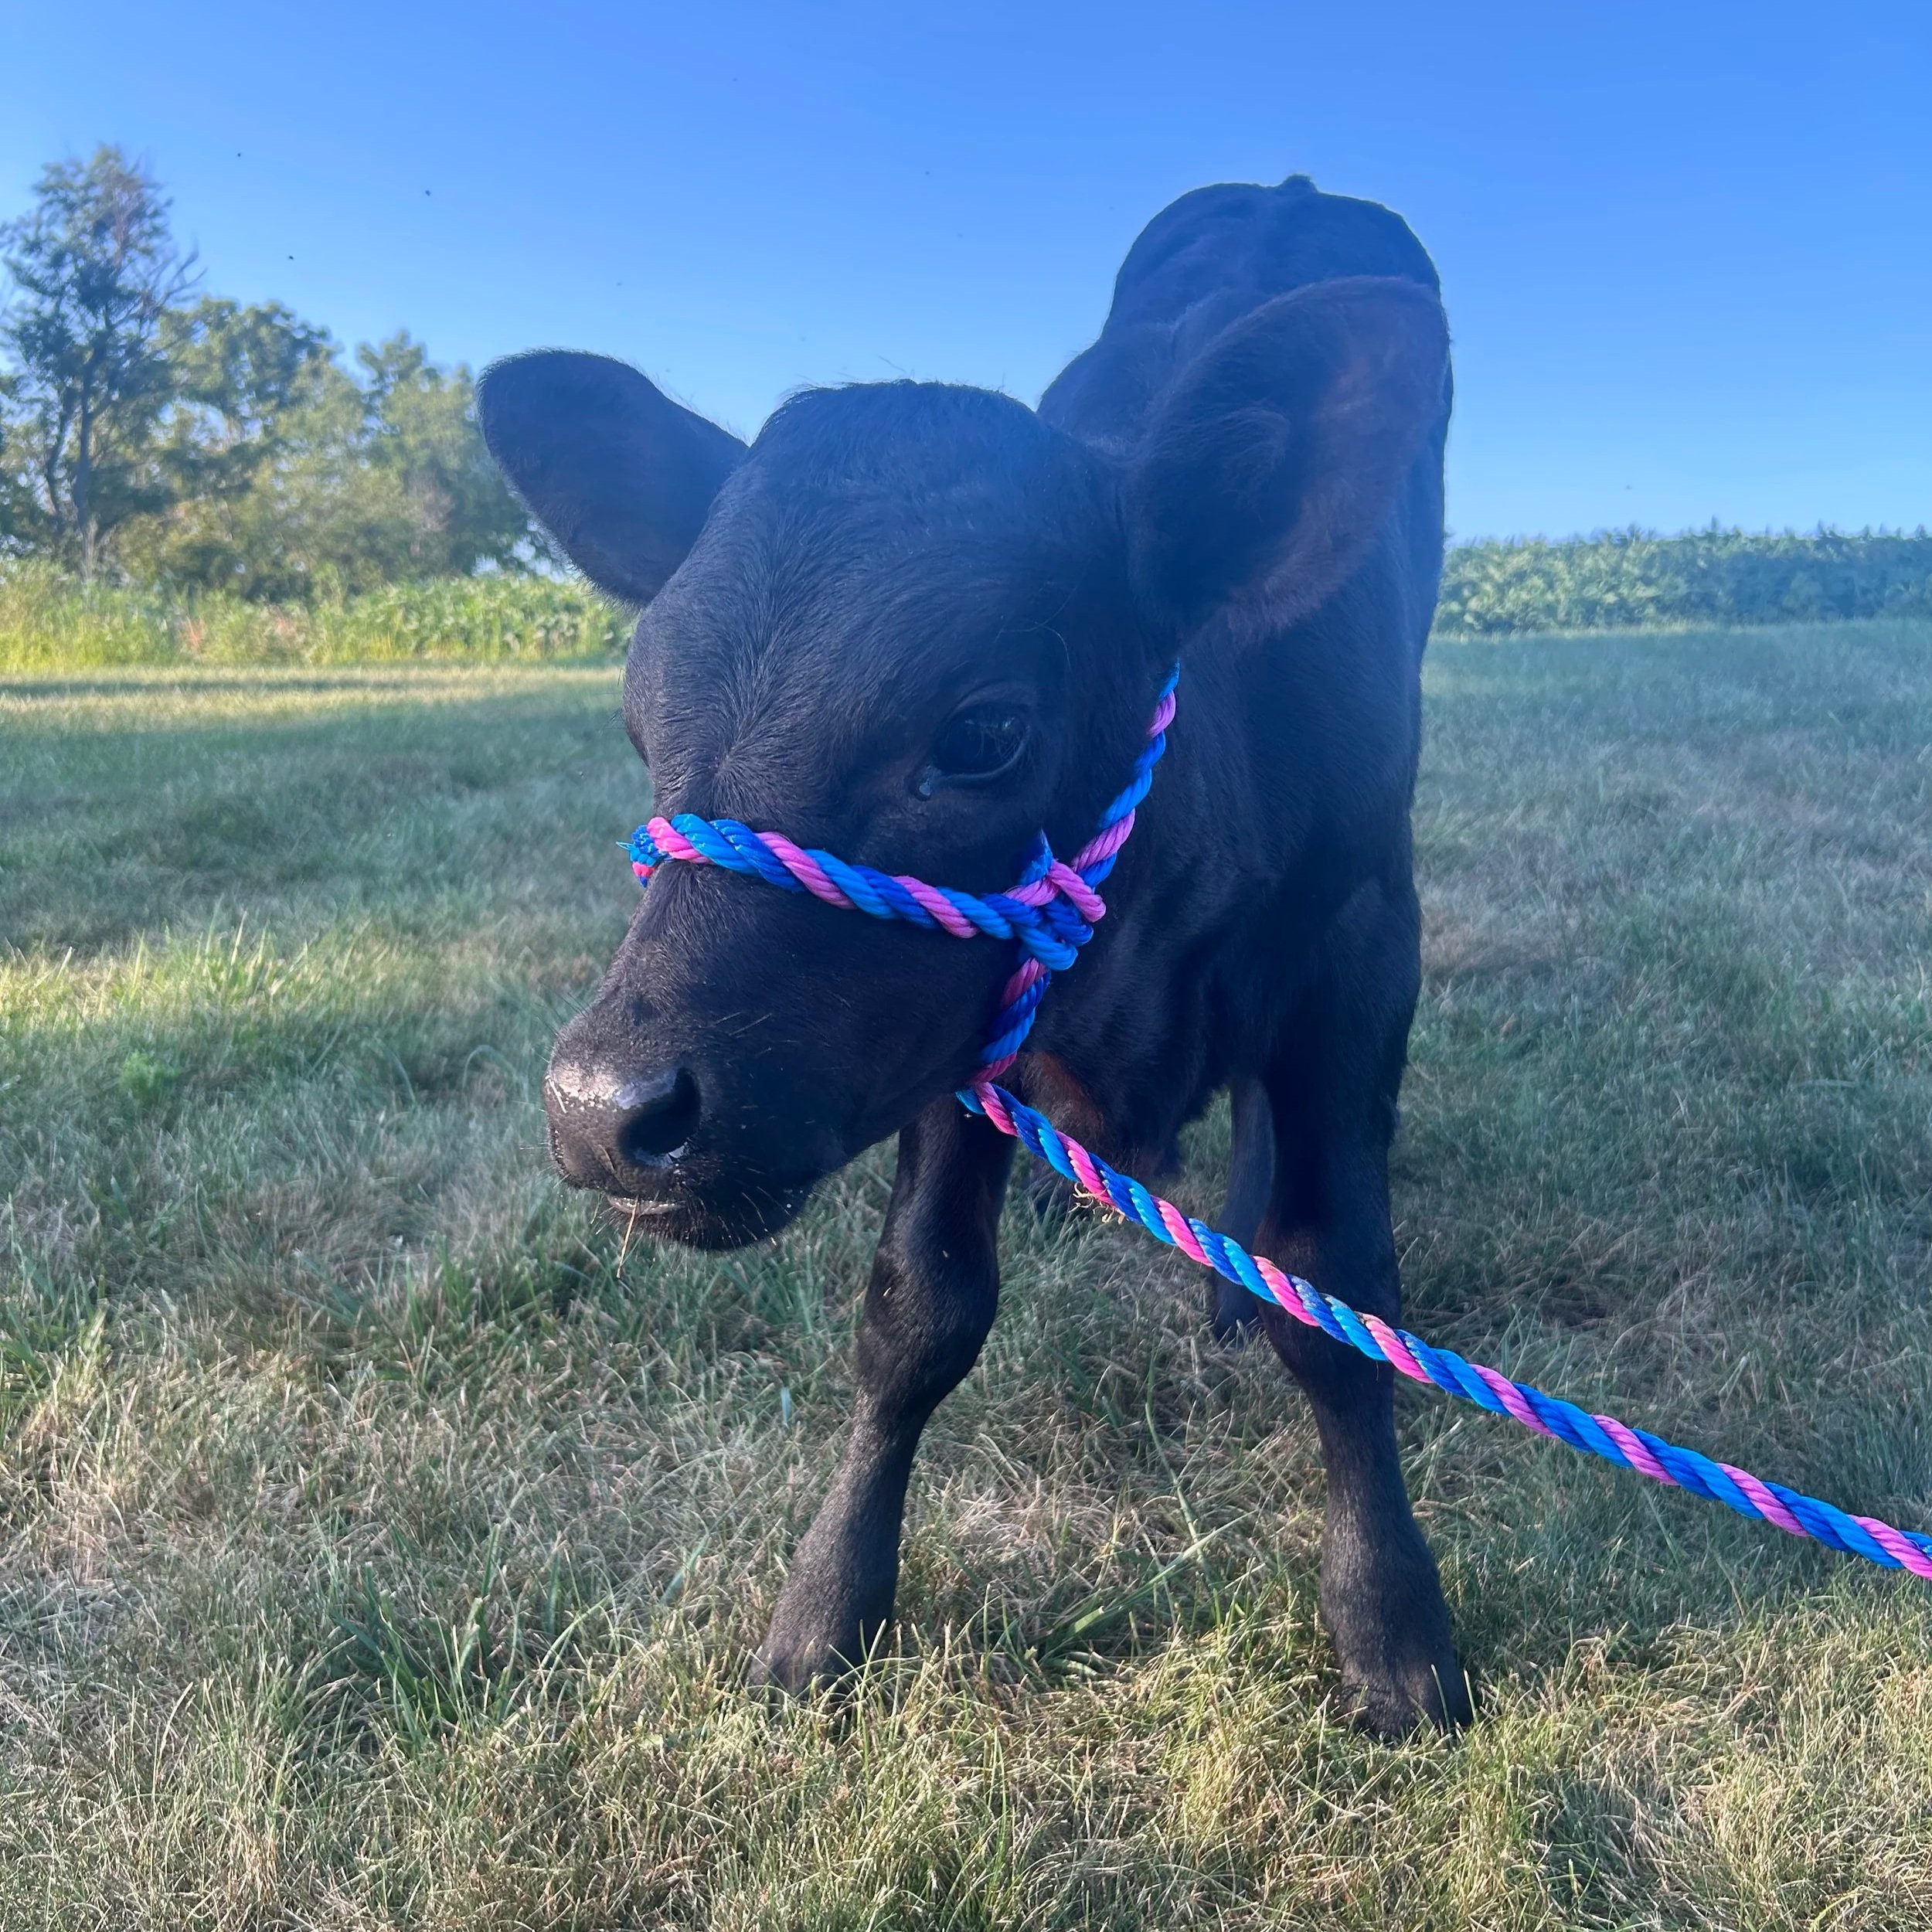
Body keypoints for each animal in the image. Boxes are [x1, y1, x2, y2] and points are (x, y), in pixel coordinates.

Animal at [479, 174, 1468, 1734]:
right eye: (639, 715)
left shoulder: (1364, 941)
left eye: (984, 729)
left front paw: (1393, 1629)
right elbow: (916, 1311)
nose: (603, 1109)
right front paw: (823, 1613)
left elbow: (1343, 1303)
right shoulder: (964, 1030)